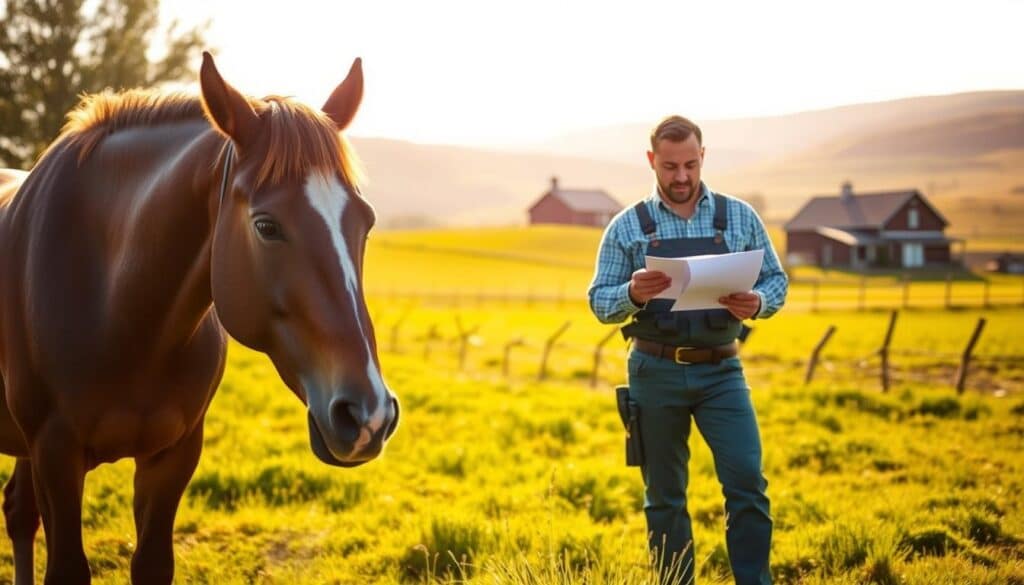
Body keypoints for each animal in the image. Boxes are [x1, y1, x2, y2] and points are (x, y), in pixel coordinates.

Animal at [0, 52, 397, 581]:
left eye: (365, 223)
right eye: (266, 226)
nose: (369, 415)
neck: (116, 311)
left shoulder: (173, 456)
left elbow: (152, 564)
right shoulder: (54, 454)